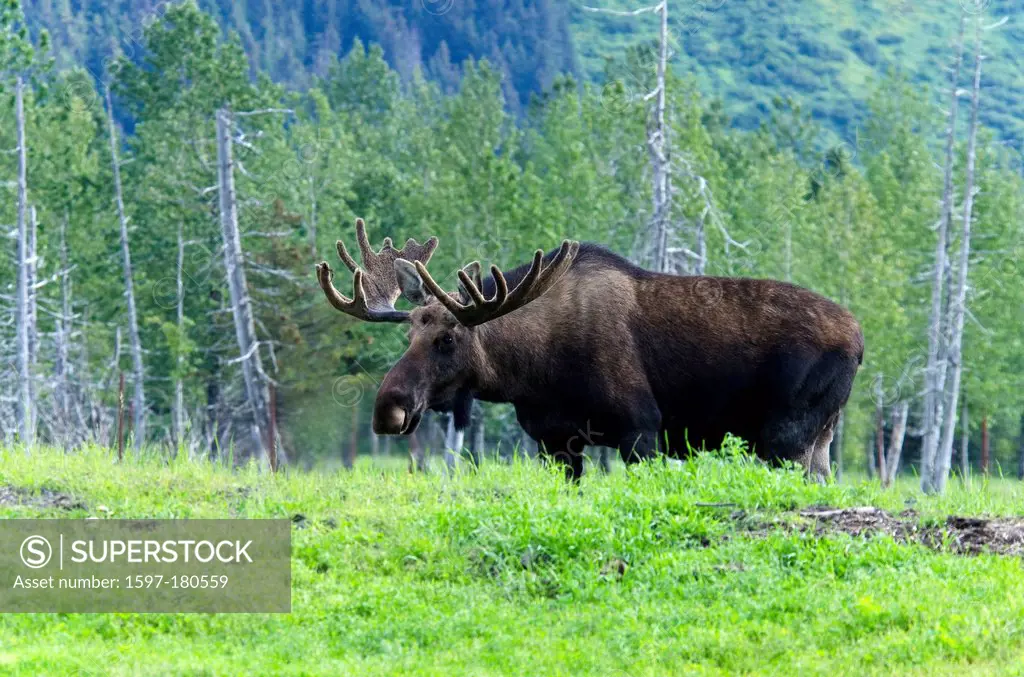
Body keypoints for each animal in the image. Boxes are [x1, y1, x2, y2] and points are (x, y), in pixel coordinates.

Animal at [315, 219, 860, 477]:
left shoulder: (642, 431)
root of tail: (859, 340)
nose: (388, 409)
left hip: (786, 438)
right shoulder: (555, 441)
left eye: (446, 339)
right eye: (408, 335)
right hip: (819, 439)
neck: (529, 373)